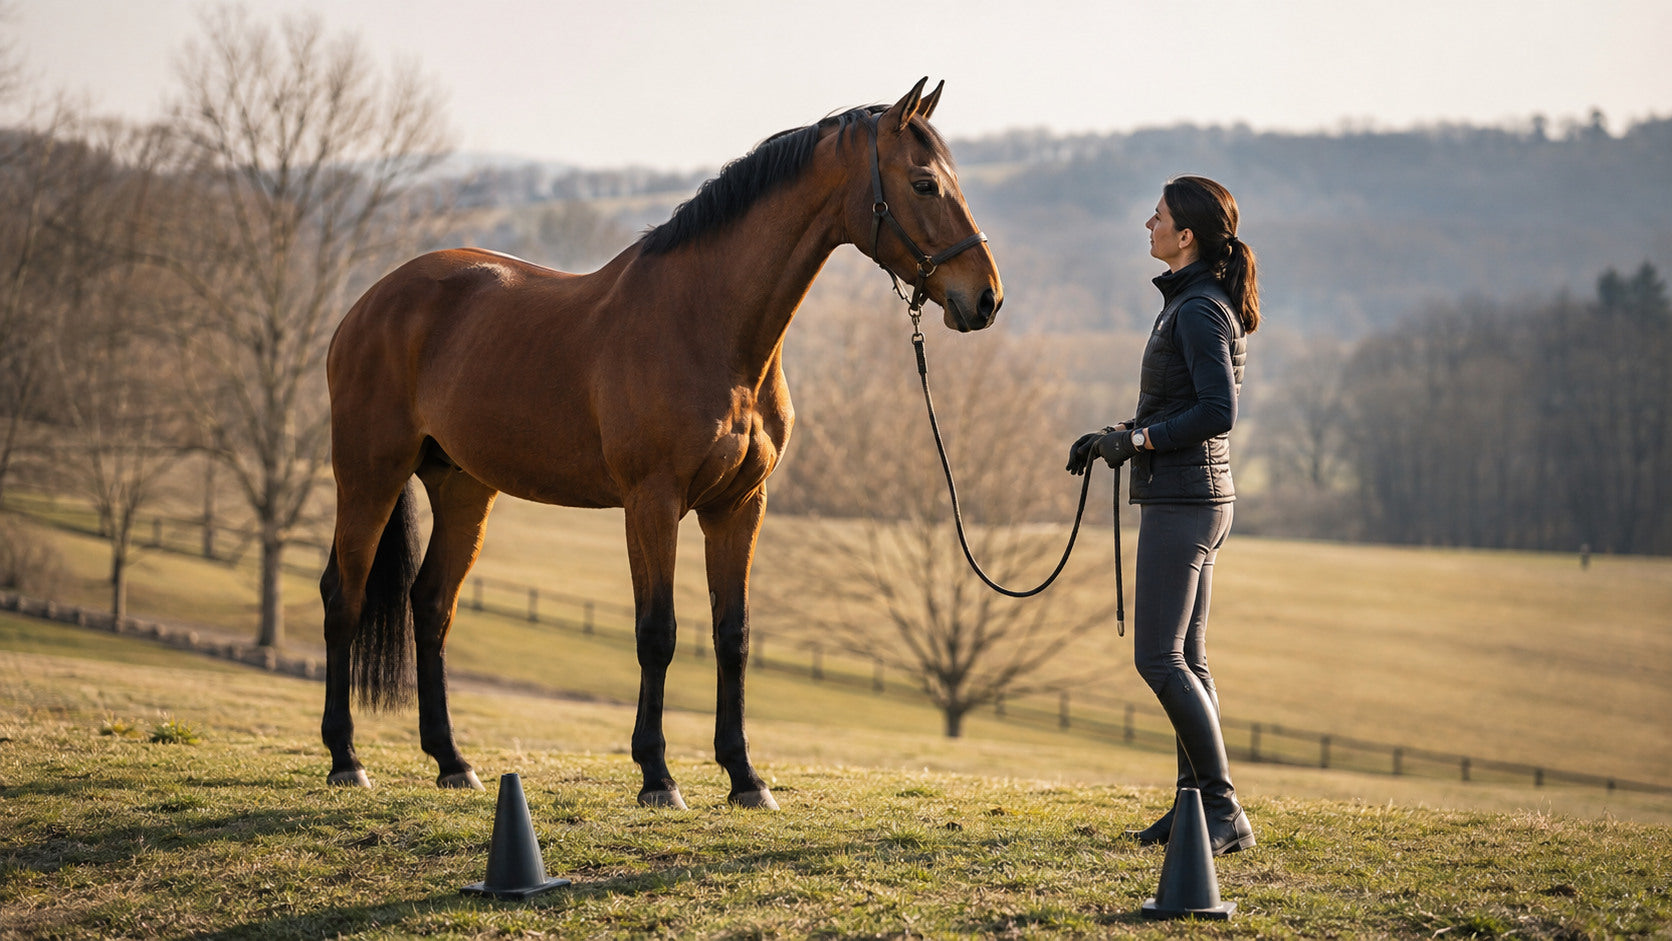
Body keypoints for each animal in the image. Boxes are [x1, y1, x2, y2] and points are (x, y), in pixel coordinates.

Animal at [318, 78, 1003, 809]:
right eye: (924, 183)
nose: (986, 298)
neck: (709, 326)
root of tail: (368, 303)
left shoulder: (738, 507)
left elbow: (732, 636)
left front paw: (744, 776)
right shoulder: (652, 502)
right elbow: (659, 632)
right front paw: (657, 775)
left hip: (464, 487)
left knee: (431, 604)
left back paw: (451, 760)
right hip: (369, 475)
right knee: (344, 597)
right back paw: (345, 758)